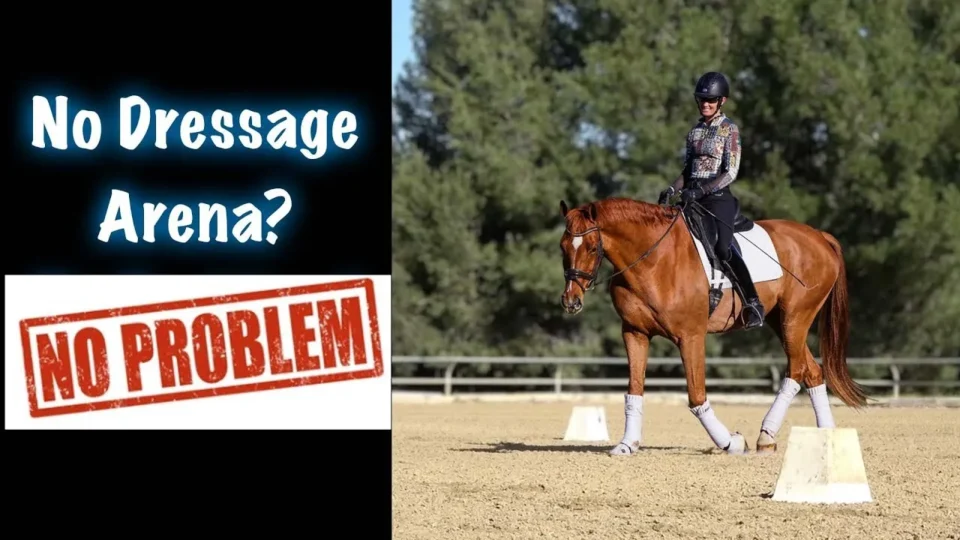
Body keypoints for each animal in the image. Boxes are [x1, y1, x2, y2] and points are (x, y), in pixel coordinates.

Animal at [557, 196, 867, 455]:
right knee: (811, 371)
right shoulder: (635, 333)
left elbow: (696, 397)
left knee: (796, 370)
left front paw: (732, 442)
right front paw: (626, 445)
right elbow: (634, 391)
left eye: (592, 247)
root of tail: (819, 236)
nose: (571, 301)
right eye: (563, 247)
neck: (653, 260)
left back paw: (768, 436)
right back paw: (818, 435)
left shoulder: (690, 336)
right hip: (780, 321)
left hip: (795, 318)